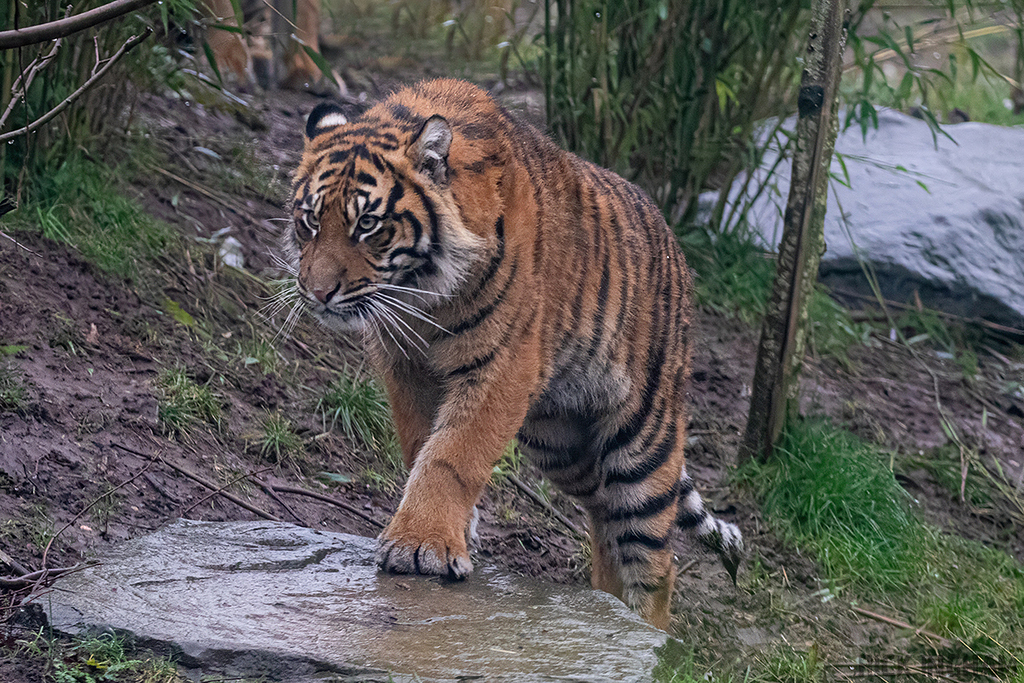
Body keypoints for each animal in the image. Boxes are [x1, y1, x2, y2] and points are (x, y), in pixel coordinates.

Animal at [285, 78, 742, 630]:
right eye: (310, 220)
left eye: (368, 224)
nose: (317, 292)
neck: (420, 294)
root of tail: (674, 244)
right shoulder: (407, 365)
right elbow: (422, 444)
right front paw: (453, 531)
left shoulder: (502, 365)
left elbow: (454, 453)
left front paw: (422, 545)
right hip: (560, 440)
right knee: (603, 514)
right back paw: (606, 607)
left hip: (642, 439)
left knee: (656, 557)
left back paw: (646, 630)